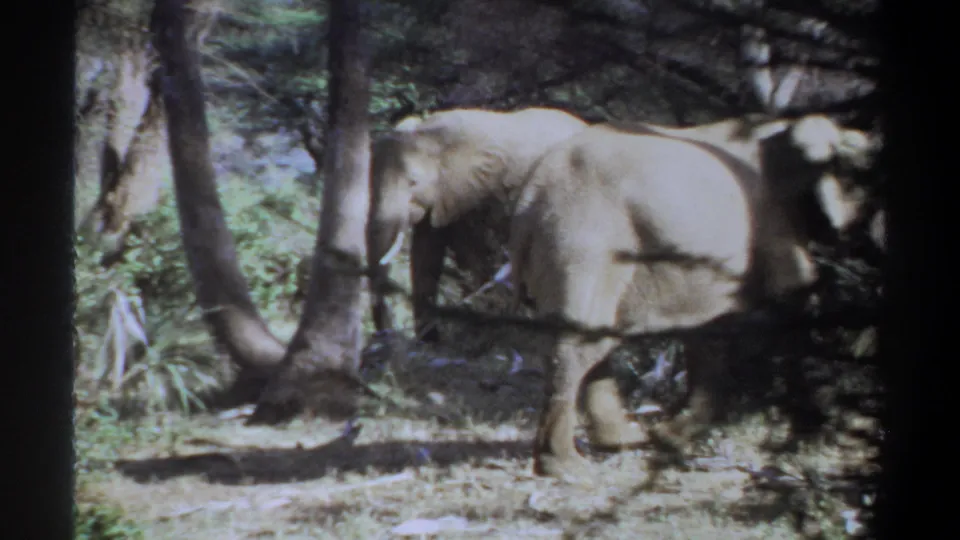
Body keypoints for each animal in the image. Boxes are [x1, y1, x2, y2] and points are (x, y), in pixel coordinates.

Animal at [367, 107, 589, 343]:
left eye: (413, 182)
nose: (383, 335)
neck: (433, 135)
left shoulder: (481, 191)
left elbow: (475, 252)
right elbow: (426, 255)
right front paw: (430, 342)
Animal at [507, 114, 879, 482]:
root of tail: (530, 196)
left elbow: (709, 330)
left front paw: (668, 437)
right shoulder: (774, 224)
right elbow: (789, 305)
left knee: (596, 338)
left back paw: (623, 439)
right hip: (584, 244)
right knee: (577, 344)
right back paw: (568, 467)